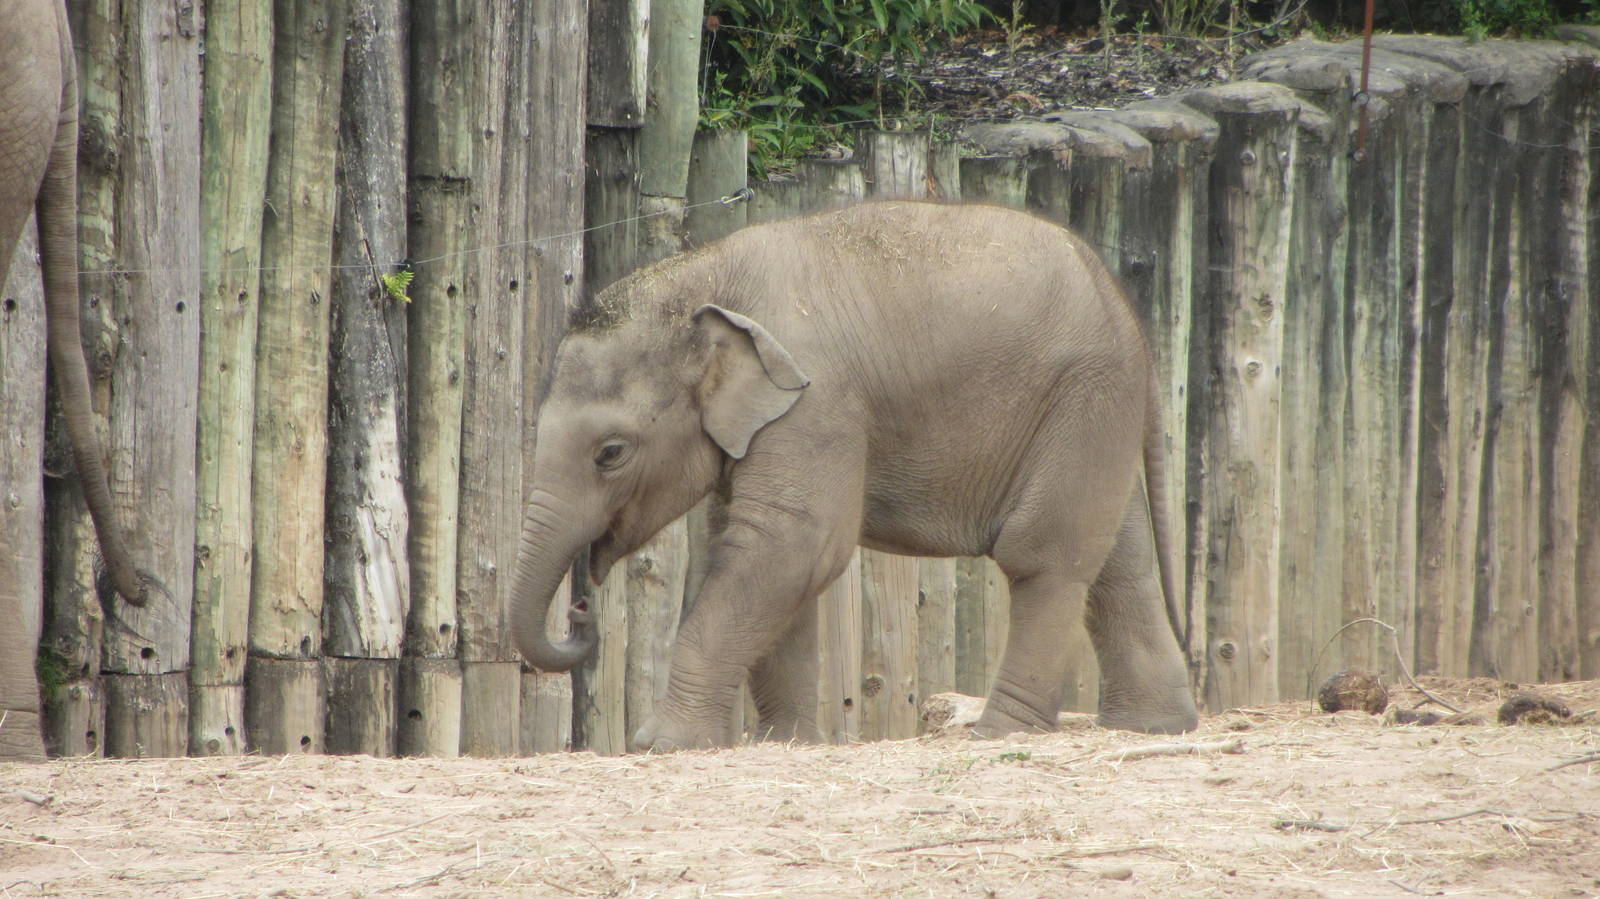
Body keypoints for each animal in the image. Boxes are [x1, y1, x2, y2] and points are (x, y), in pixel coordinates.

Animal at [511, 200, 1198, 752]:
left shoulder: (818, 400)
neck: (704, 275)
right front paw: (785, 742)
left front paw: (660, 744)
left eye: (610, 453)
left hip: (1085, 393)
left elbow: (792, 545)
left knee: (1043, 555)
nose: (580, 611)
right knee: (1118, 562)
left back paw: (1001, 735)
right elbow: (768, 555)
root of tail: (1128, 312)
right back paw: (1154, 727)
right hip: (1092, 412)